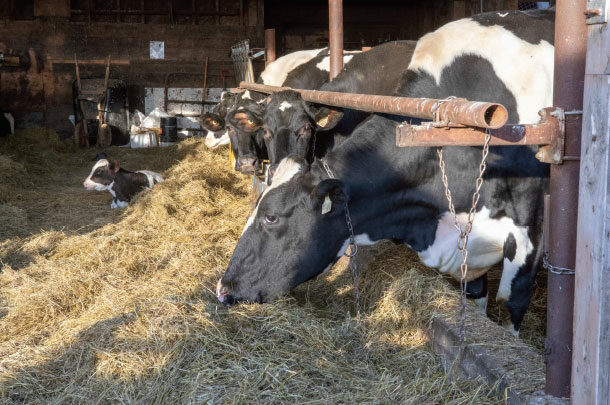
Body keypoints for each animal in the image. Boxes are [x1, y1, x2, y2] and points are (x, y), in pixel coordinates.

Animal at [216, 8, 552, 334]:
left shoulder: (529, 234)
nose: (222, 287)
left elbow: (511, 304)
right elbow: (476, 299)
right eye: (265, 131)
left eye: (271, 217)